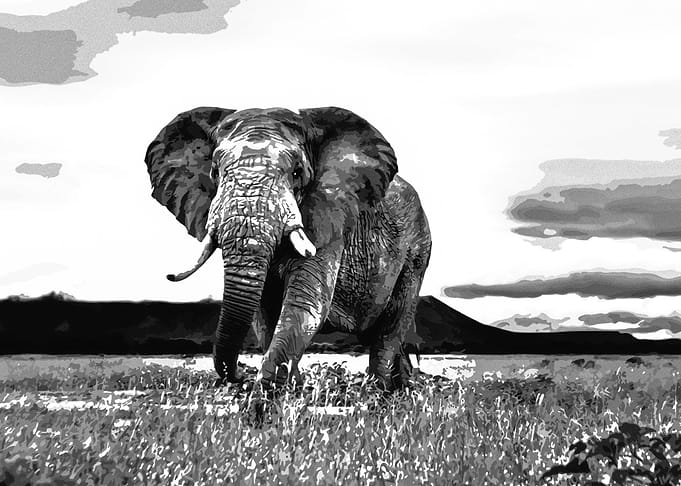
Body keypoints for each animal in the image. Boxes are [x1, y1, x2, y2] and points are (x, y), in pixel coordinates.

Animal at [144, 106, 431, 391]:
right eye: (214, 171)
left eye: (296, 173)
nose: (239, 376)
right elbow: (264, 312)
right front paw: (289, 389)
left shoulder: (327, 219)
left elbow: (305, 303)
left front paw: (268, 390)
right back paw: (402, 388)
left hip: (417, 250)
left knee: (391, 326)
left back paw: (379, 392)